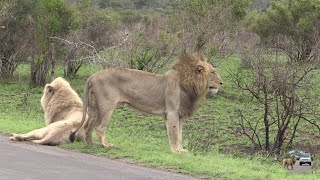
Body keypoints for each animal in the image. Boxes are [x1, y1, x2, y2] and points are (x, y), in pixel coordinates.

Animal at [70, 51, 222, 152]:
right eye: (213, 72)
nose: (221, 83)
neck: (191, 86)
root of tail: (94, 75)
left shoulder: (180, 115)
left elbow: (179, 134)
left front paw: (181, 149)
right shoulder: (172, 112)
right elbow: (174, 133)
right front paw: (175, 151)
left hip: (95, 106)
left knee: (88, 125)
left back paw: (91, 144)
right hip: (107, 106)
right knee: (100, 127)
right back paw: (105, 145)